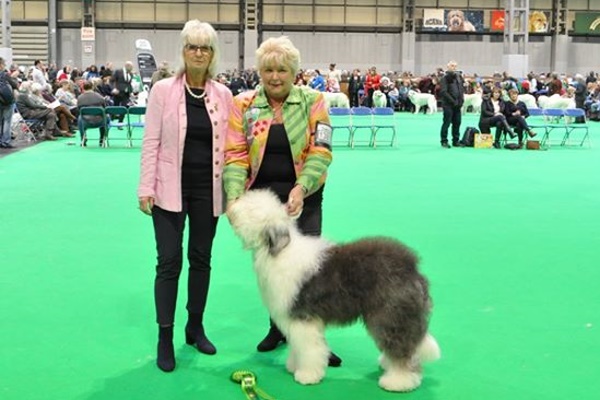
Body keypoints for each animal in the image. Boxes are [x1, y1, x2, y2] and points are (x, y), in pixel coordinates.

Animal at [228, 189, 440, 392]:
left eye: (252, 210)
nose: (231, 208)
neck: (278, 252)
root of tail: (412, 267)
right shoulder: (294, 321)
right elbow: (297, 347)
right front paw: (294, 366)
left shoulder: (303, 318)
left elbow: (309, 349)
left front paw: (307, 375)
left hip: (390, 315)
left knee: (401, 349)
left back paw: (398, 381)